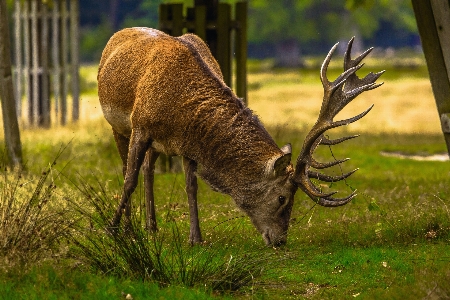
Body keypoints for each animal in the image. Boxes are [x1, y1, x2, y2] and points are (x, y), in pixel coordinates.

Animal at [97, 27, 384, 246]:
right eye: (282, 197)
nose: (280, 241)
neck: (180, 111)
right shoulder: (141, 126)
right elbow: (128, 180)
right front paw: (113, 229)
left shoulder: (187, 145)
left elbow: (191, 187)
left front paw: (196, 238)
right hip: (118, 126)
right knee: (128, 169)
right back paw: (130, 227)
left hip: (156, 145)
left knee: (148, 169)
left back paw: (152, 227)